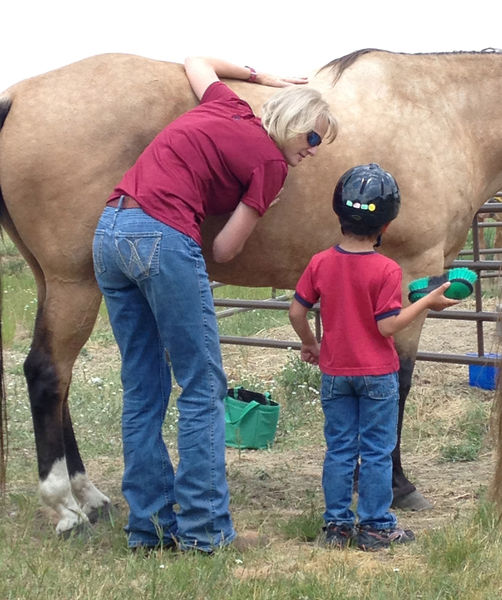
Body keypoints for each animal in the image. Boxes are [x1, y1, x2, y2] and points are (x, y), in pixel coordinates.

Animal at [0, 48, 502, 536]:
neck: (441, 113)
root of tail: (17, 97)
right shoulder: (410, 274)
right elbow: (396, 382)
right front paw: (396, 485)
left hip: (56, 280)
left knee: (61, 381)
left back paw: (90, 496)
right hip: (74, 284)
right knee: (47, 374)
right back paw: (66, 507)